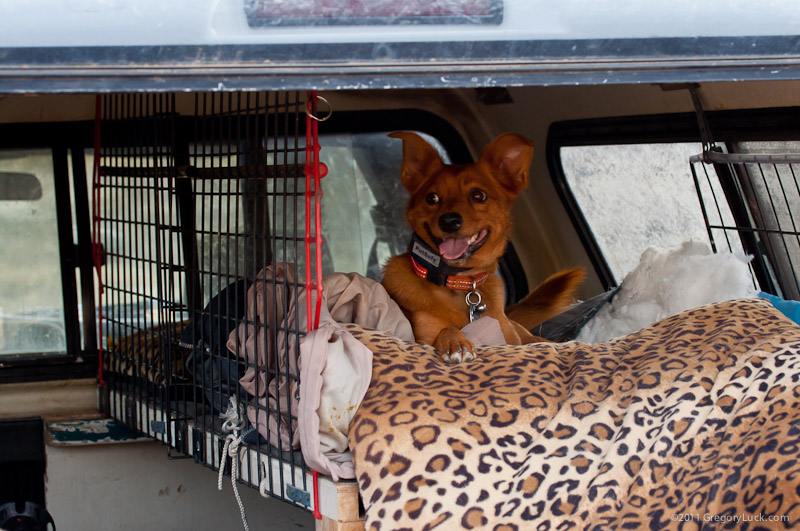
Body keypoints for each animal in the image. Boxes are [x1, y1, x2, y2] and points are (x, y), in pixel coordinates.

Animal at [381, 131, 585, 363]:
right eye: (431, 198)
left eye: (478, 195)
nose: (448, 221)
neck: (460, 284)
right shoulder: (423, 337)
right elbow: (447, 329)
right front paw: (457, 343)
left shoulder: (510, 339)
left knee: (536, 339)